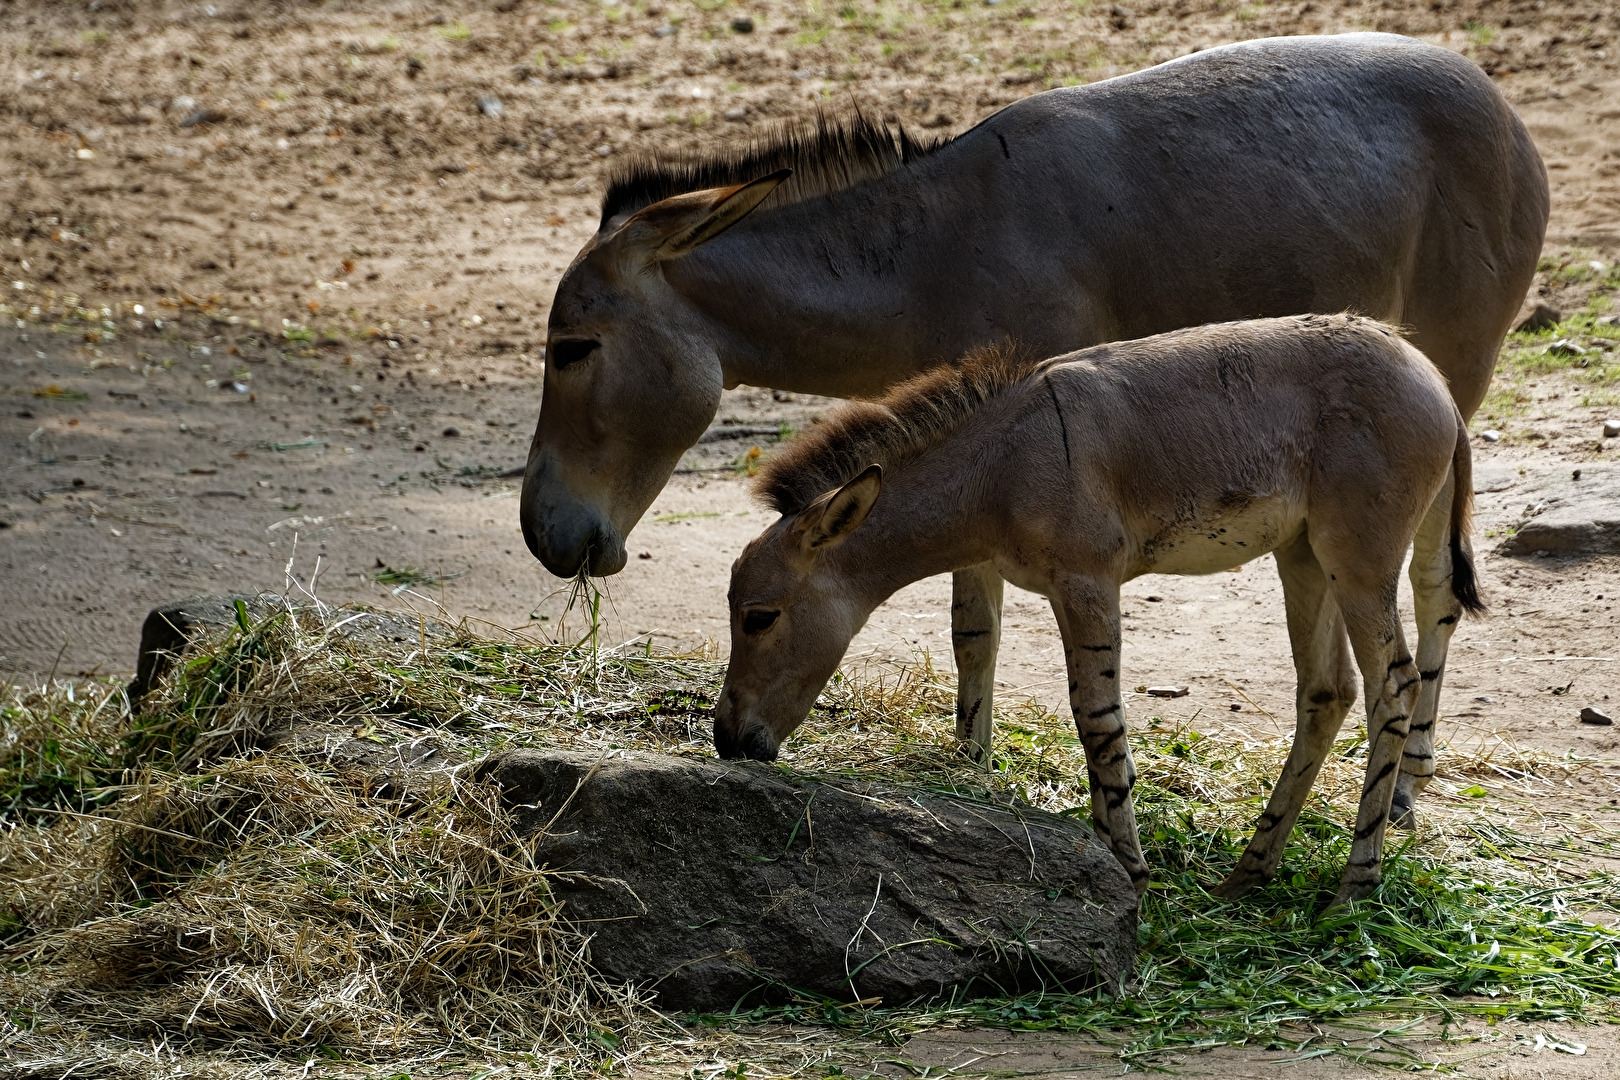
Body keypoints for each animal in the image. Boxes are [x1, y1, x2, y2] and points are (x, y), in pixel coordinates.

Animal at [716, 317, 1483, 906]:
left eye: (759, 617)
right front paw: (1104, 844)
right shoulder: (1058, 587)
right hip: (1304, 557)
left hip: (1358, 561)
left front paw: (1131, 869)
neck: (1005, 463)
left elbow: (1098, 717)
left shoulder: (1087, 581)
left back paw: (1356, 882)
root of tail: (1433, 377)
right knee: (1328, 692)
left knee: (1394, 685)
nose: (727, 740)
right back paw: (1249, 871)